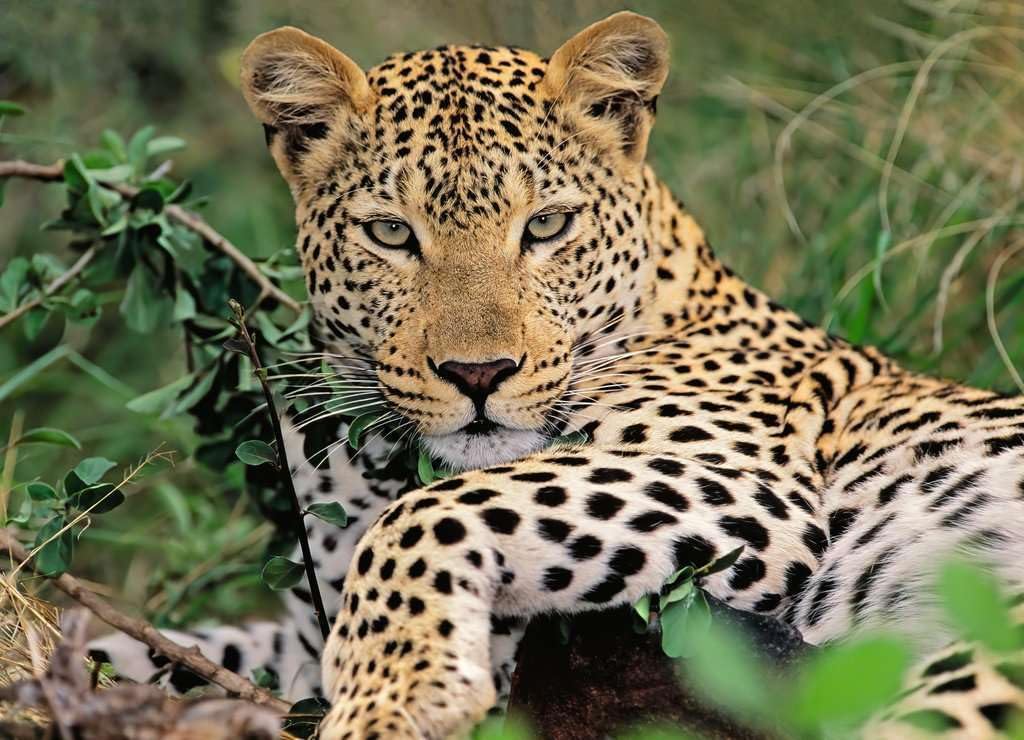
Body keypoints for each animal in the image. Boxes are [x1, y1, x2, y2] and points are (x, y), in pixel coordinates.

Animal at [88, 12, 1024, 739]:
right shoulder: (303, 623)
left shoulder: (745, 484)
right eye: (391, 233)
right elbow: (173, 645)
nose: (477, 373)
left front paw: (394, 698)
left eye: (546, 226)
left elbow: (428, 513)